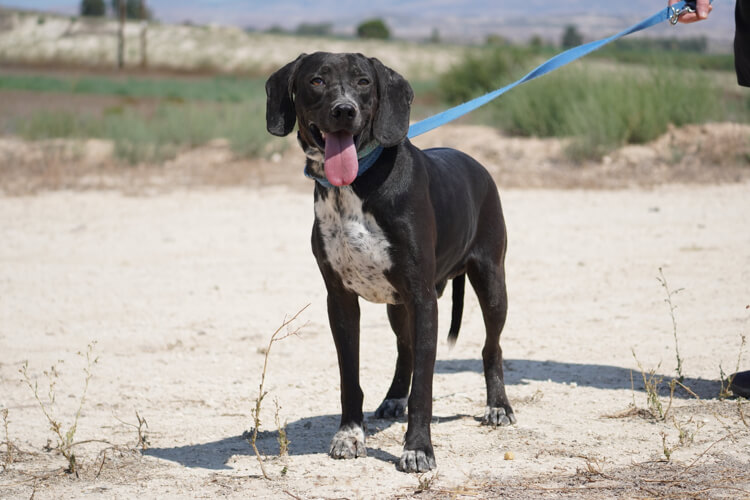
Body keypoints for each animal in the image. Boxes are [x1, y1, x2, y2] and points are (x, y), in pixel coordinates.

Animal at [266, 53, 516, 472]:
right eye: (316, 81)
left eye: (364, 81)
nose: (344, 110)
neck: (354, 186)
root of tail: (476, 164)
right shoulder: (341, 300)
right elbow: (349, 378)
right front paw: (350, 435)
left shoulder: (423, 298)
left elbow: (425, 388)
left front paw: (417, 448)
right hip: (397, 306)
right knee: (406, 350)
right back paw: (394, 397)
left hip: (491, 281)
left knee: (491, 347)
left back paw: (498, 406)